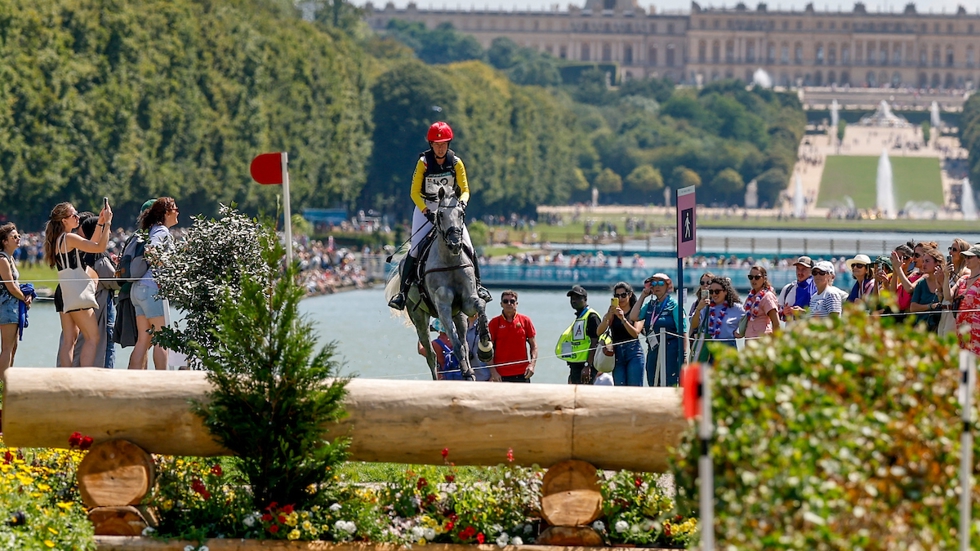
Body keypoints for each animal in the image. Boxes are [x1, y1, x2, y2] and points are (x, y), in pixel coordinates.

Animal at [384, 192, 494, 382]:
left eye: (461, 214)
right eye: (440, 215)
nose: (455, 243)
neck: (450, 260)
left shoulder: (467, 301)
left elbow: (479, 305)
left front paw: (486, 343)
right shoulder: (442, 306)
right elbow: (454, 342)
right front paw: (464, 370)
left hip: (459, 315)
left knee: (464, 341)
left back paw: (471, 370)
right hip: (419, 318)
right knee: (431, 354)